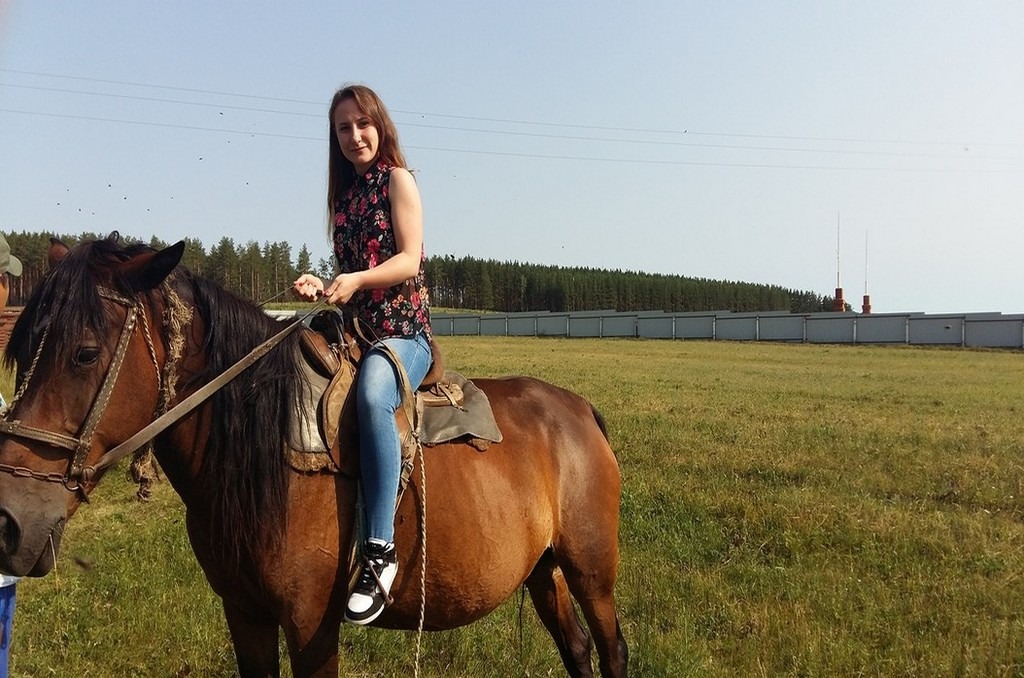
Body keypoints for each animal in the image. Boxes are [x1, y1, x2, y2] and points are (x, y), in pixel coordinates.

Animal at [0, 235, 628, 677]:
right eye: (23, 348)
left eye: (84, 354)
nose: (11, 522)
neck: (265, 453)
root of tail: (579, 409)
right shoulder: (244, 614)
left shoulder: (310, 626)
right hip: (543, 569)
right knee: (577, 650)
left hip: (591, 569)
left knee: (611, 648)